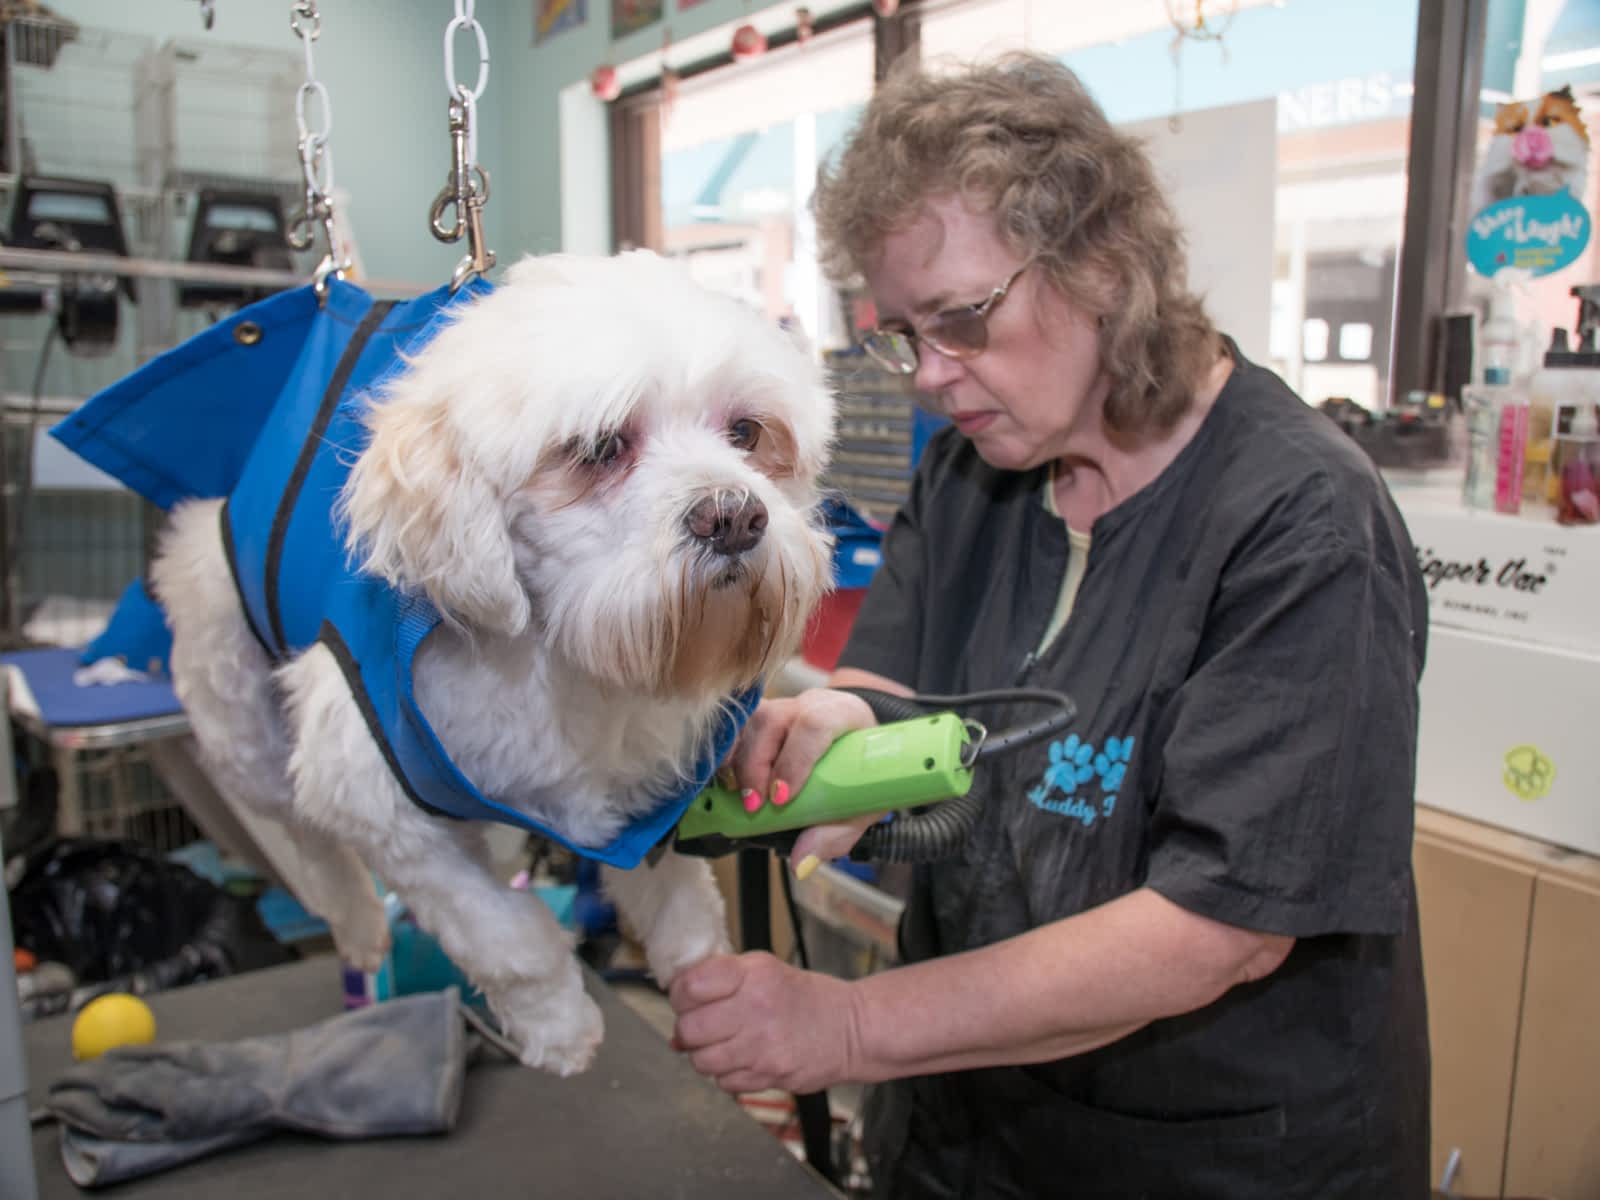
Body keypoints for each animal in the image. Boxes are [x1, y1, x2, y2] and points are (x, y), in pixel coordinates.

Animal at [148, 251, 836, 1074]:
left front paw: (703, 975)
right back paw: (358, 930)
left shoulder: (651, 799)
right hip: (243, 723)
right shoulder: (378, 799)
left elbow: (677, 895)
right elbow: (508, 935)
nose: (734, 515)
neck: (564, 662)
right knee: (308, 841)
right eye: (599, 448)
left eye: (746, 431)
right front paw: (559, 1029)